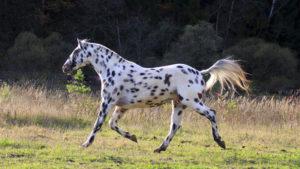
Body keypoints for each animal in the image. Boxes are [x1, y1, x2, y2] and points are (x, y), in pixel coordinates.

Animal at [62, 39, 250, 152]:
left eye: (75, 52)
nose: (65, 67)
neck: (112, 70)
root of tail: (199, 72)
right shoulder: (122, 107)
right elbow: (112, 125)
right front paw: (133, 137)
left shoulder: (107, 103)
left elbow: (98, 124)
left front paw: (86, 144)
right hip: (179, 104)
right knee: (175, 126)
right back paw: (160, 148)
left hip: (192, 101)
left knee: (211, 113)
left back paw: (220, 141)